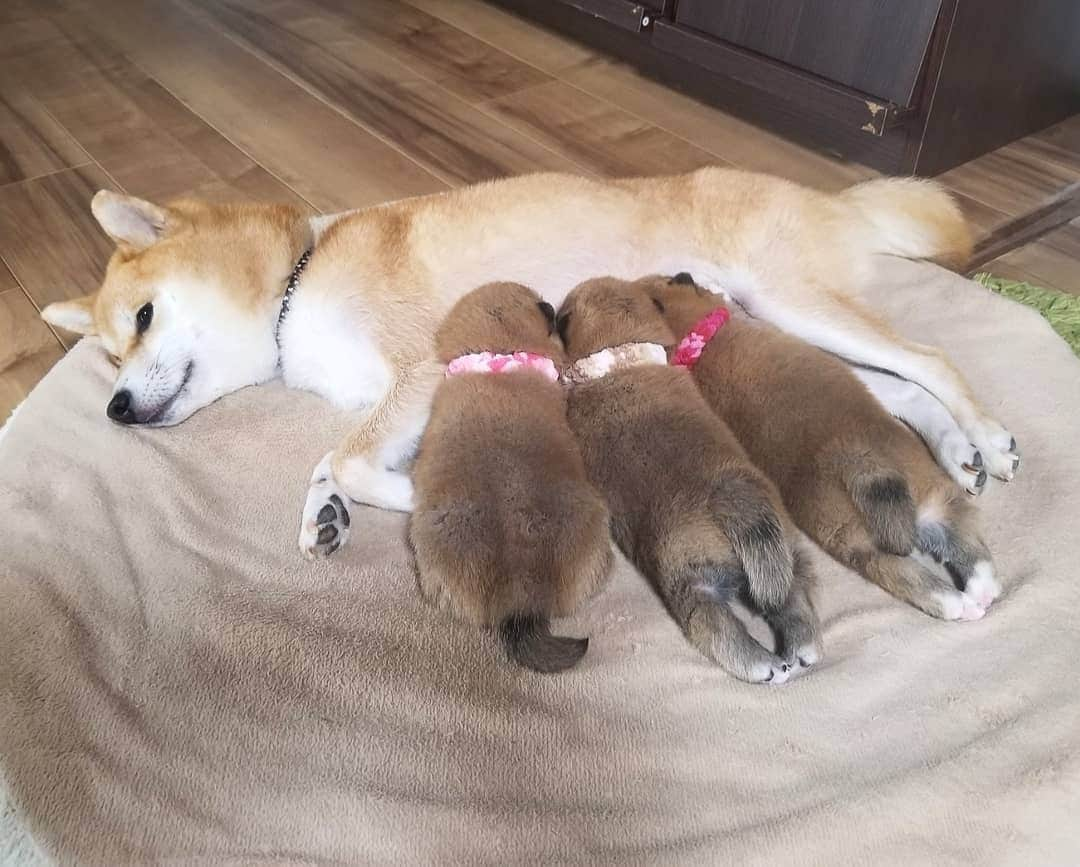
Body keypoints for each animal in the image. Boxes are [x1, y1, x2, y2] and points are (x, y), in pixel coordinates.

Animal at [42, 167, 1015, 561]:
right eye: (107, 353)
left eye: (143, 319)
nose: (115, 408)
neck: (297, 278)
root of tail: (827, 197)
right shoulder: (389, 397)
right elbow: (332, 458)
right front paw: (325, 512)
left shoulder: (422, 371)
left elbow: (353, 459)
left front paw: (412, 497)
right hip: (770, 332)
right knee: (890, 386)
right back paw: (956, 445)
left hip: (792, 303)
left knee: (929, 356)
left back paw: (989, 433)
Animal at [557, 278, 816, 686]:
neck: (624, 352)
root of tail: (733, 499)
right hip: (786, 555)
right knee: (793, 602)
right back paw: (801, 650)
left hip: (689, 580)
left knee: (713, 626)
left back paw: (763, 665)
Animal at [643, 274, 997, 621]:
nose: (683, 274)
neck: (701, 339)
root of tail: (859, 464)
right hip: (879, 529)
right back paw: (969, 596)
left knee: (926, 367)